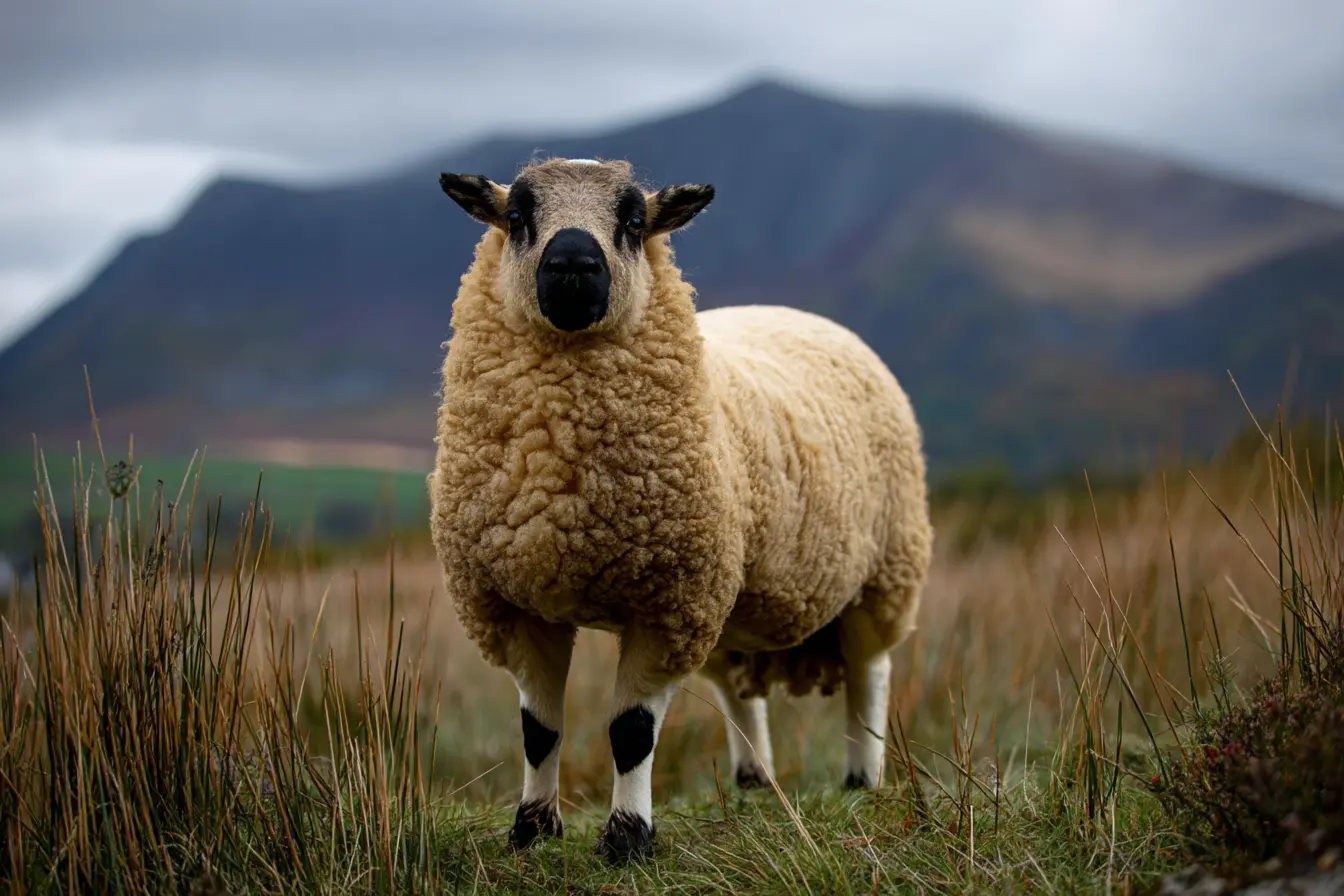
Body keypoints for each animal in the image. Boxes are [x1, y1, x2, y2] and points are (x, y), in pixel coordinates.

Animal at [429, 157, 934, 863]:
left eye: (635, 220)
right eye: (518, 215)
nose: (573, 263)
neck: (561, 490)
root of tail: (795, 312)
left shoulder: (666, 602)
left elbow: (631, 731)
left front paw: (627, 837)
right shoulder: (515, 605)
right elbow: (538, 731)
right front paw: (530, 830)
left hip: (883, 573)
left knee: (870, 674)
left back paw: (863, 779)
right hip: (728, 593)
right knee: (736, 688)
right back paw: (753, 780)